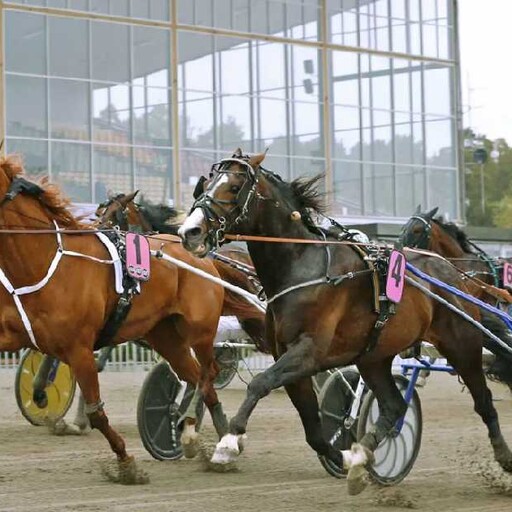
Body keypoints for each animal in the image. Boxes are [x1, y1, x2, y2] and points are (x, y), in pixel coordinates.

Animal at [0, 155, 256, 480]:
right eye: (98, 212)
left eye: (115, 215)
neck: (46, 261)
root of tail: (204, 260)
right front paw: (43, 396)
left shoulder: (80, 346)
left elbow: (97, 409)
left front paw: (125, 463)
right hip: (165, 336)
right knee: (196, 376)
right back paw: (215, 441)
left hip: (199, 330)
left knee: (207, 373)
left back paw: (199, 431)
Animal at [178, 150, 512, 494]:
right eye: (206, 183)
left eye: (234, 187)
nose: (190, 232)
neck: (304, 266)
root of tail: (457, 277)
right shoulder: (289, 357)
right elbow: (312, 429)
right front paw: (347, 458)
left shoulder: (309, 352)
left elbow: (259, 383)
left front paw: (229, 442)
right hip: (373, 357)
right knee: (393, 406)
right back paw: (363, 456)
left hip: (462, 345)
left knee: (483, 401)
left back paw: (504, 458)